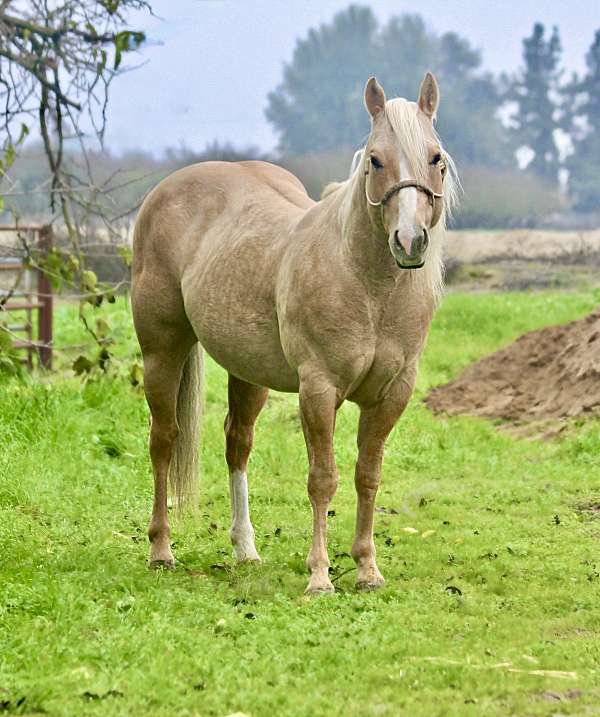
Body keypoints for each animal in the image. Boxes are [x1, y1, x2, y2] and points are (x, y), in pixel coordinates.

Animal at [131, 72, 458, 594]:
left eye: (436, 158)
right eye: (375, 159)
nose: (409, 241)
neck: (367, 286)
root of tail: (168, 189)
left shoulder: (392, 394)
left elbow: (368, 475)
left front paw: (367, 569)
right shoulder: (319, 390)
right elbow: (323, 478)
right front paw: (320, 575)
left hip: (248, 372)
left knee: (237, 443)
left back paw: (245, 549)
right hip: (162, 352)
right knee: (163, 440)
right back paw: (161, 550)